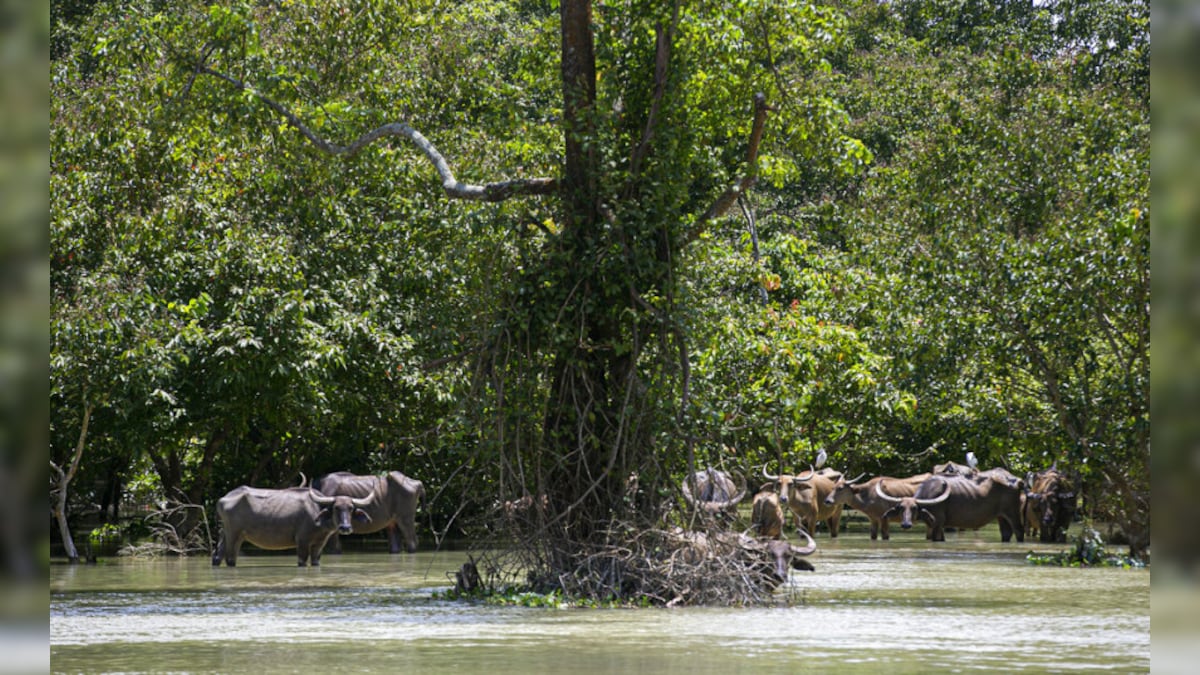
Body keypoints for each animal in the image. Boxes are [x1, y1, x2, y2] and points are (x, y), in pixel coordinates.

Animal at [211, 482, 369, 562]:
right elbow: (302, 561)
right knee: (230, 558)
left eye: (351, 508)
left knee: (217, 556)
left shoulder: (319, 544)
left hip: (229, 534)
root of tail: (222, 498)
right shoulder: (302, 541)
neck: (315, 510)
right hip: (233, 534)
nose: (345, 527)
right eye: (336, 508)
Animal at [878, 470, 1027, 542]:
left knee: (1019, 530)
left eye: (914, 508)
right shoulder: (939, 526)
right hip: (1001, 516)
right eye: (901, 508)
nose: (906, 524)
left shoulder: (937, 524)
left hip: (1012, 512)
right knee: (1006, 532)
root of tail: (1017, 481)